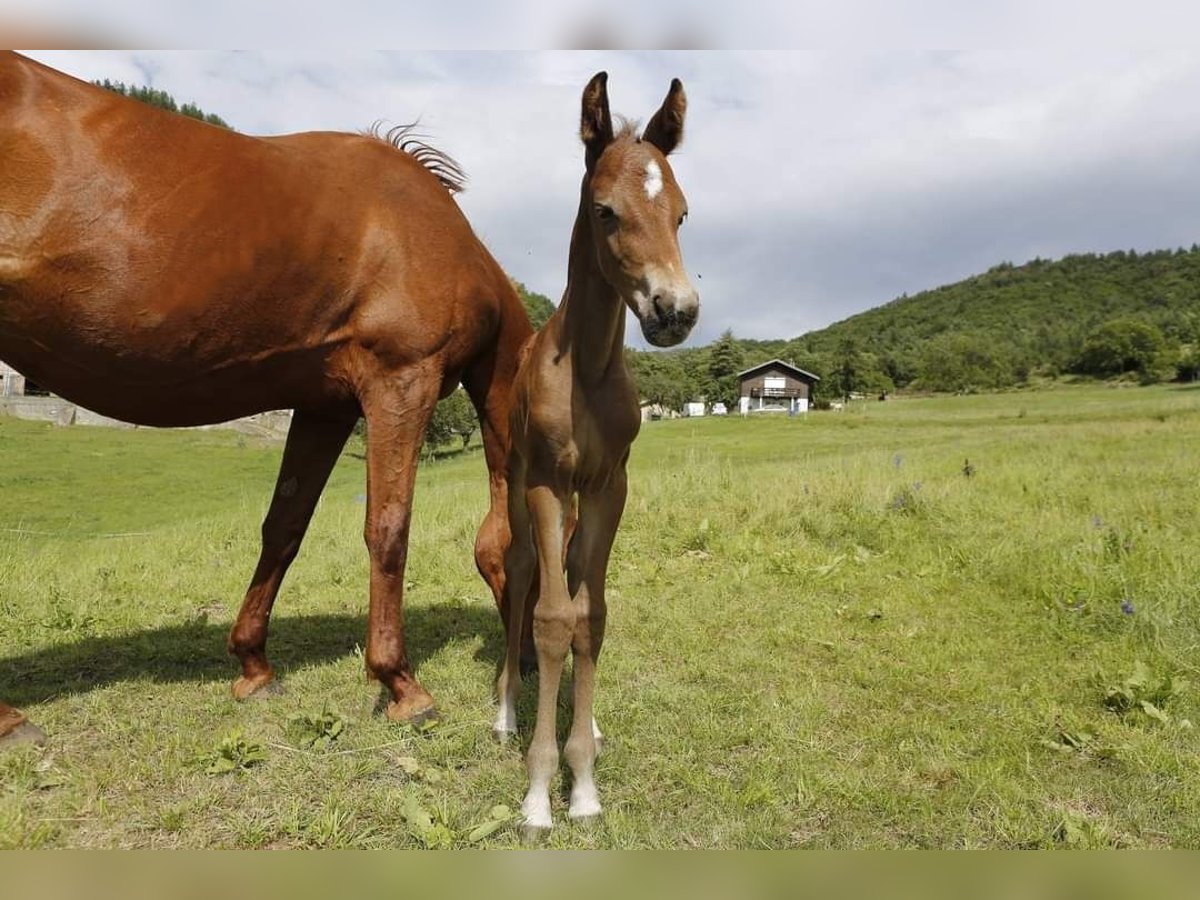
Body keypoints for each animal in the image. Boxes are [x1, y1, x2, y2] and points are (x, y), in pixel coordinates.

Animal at [0, 52, 530, 748]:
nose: (533, 658)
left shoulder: (326, 406)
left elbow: (284, 526)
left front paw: (254, 665)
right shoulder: (400, 383)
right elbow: (388, 528)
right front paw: (401, 685)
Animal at [492, 74, 700, 835]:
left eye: (681, 213)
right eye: (605, 211)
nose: (676, 311)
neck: (584, 367)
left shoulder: (612, 484)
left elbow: (594, 617)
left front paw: (583, 778)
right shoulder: (549, 483)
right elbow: (553, 621)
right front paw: (540, 790)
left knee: (576, 579)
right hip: (518, 482)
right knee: (525, 576)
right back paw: (505, 710)